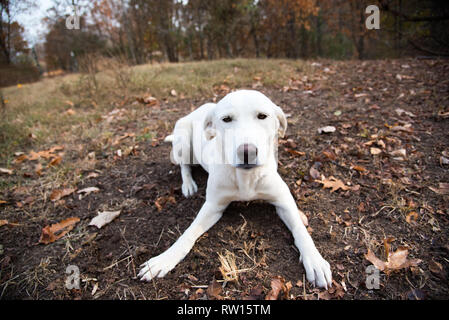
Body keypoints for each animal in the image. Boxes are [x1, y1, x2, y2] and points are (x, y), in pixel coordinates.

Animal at [138, 89, 330, 288]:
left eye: (262, 116)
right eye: (226, 119)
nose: (247, 152)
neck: (246, 177)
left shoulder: (283, 201)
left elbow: (300, 229)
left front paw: (315, 260)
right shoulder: (213, 206)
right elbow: (188, 233)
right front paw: (165, 258)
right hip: (182, 144)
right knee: (184, 166)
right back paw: (188, 184)